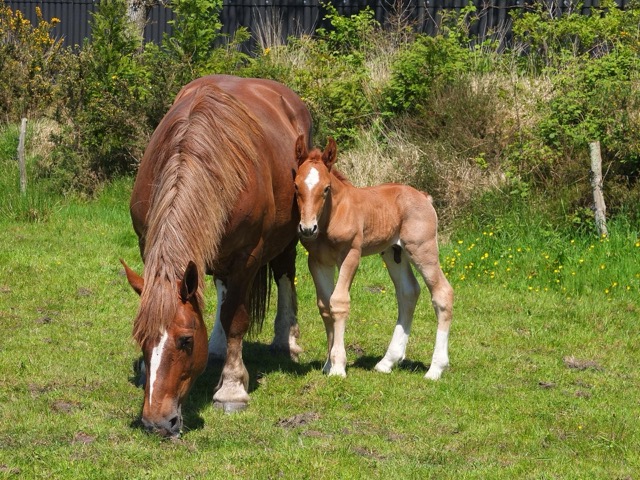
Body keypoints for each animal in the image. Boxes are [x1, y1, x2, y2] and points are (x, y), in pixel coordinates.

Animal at [121, 75, 312, 437]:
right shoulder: (147, 246)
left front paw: (232, 389)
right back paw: (218, 347)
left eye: (185, 341)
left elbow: (236, 318)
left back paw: (286, 341)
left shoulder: (247, 258)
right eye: (140, 338)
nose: (157, 422)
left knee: (284, 274)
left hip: (290, 234)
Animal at [293, 135, 454, 380]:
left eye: (326, 189)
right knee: (408, 292)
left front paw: (338, 367)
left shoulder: (351, 254)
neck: (333, 214)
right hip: (394, 252)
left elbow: (339, 302)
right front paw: (328, 364)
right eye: (296, 186)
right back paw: (387, 362)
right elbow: (325, 305)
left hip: (422, 249)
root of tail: (425, 197)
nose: (307, 228)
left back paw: (435, 369)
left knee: (442, 293)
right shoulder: (317, 261)